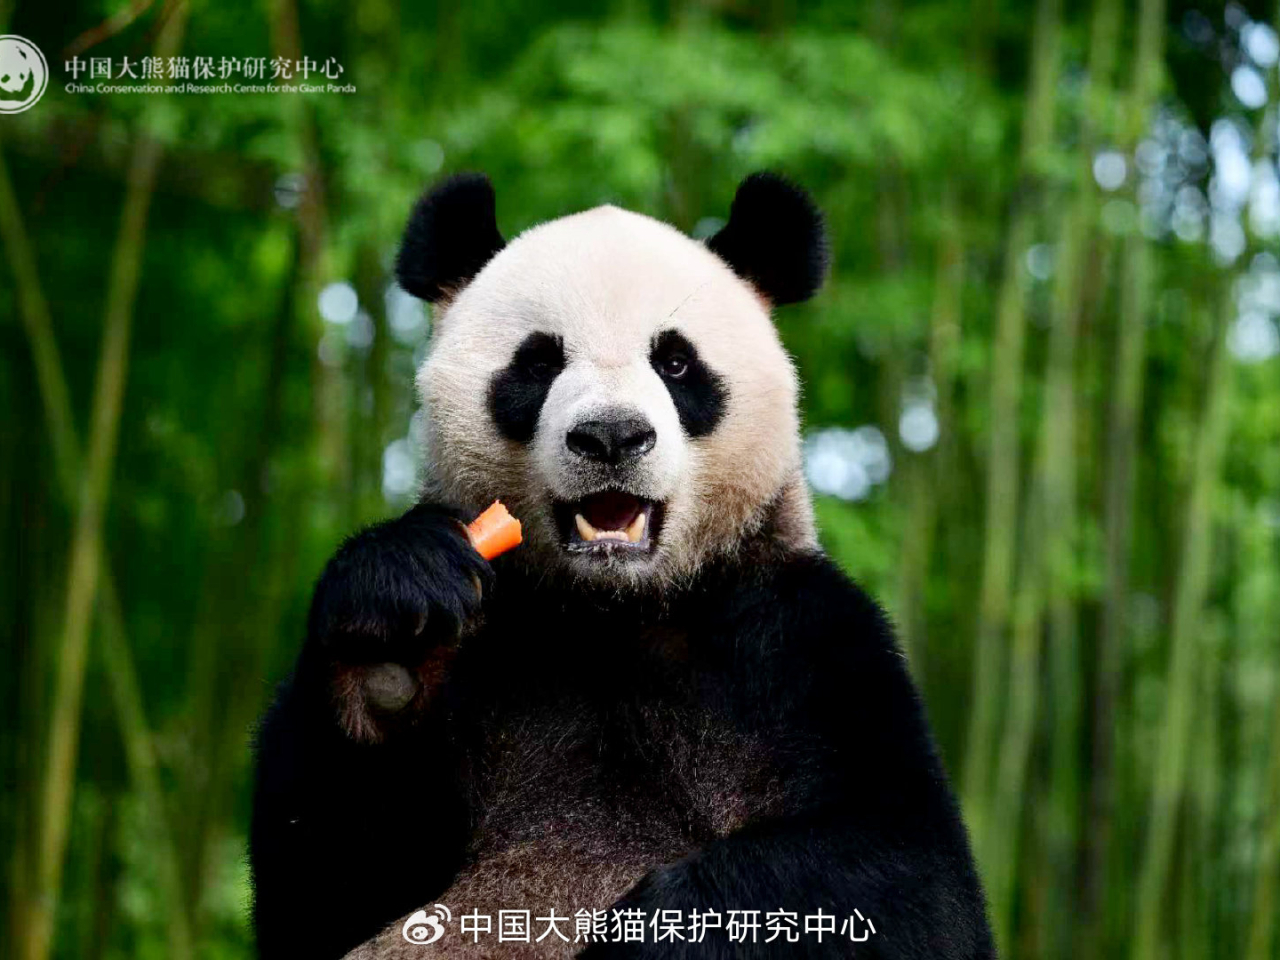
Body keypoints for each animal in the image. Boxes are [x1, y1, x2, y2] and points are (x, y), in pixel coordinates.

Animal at [249, 172, 993, 959]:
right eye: (539, 361)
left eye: (675, 362)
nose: (610, 435)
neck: (613, 608)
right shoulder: (489, 654)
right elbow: (327, 884)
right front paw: (392, 632)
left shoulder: (798, 640)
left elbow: (913, 877)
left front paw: (654, 928)